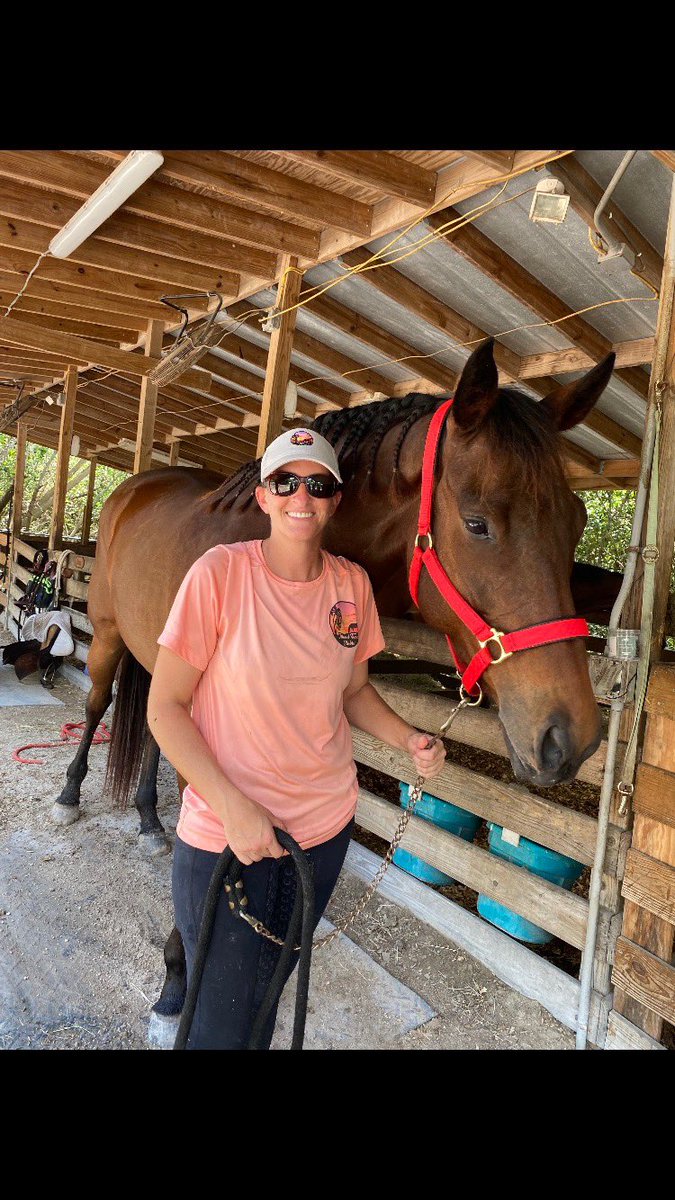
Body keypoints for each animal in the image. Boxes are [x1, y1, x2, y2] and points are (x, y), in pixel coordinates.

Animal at [48, 338, 615, 1019]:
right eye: (478, 523)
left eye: (576, 522)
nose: (571, 739)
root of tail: (137, 485)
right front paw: (179, 976)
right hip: (108, 637)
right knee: (97, 705)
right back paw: (70, 794)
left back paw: (149, 821)